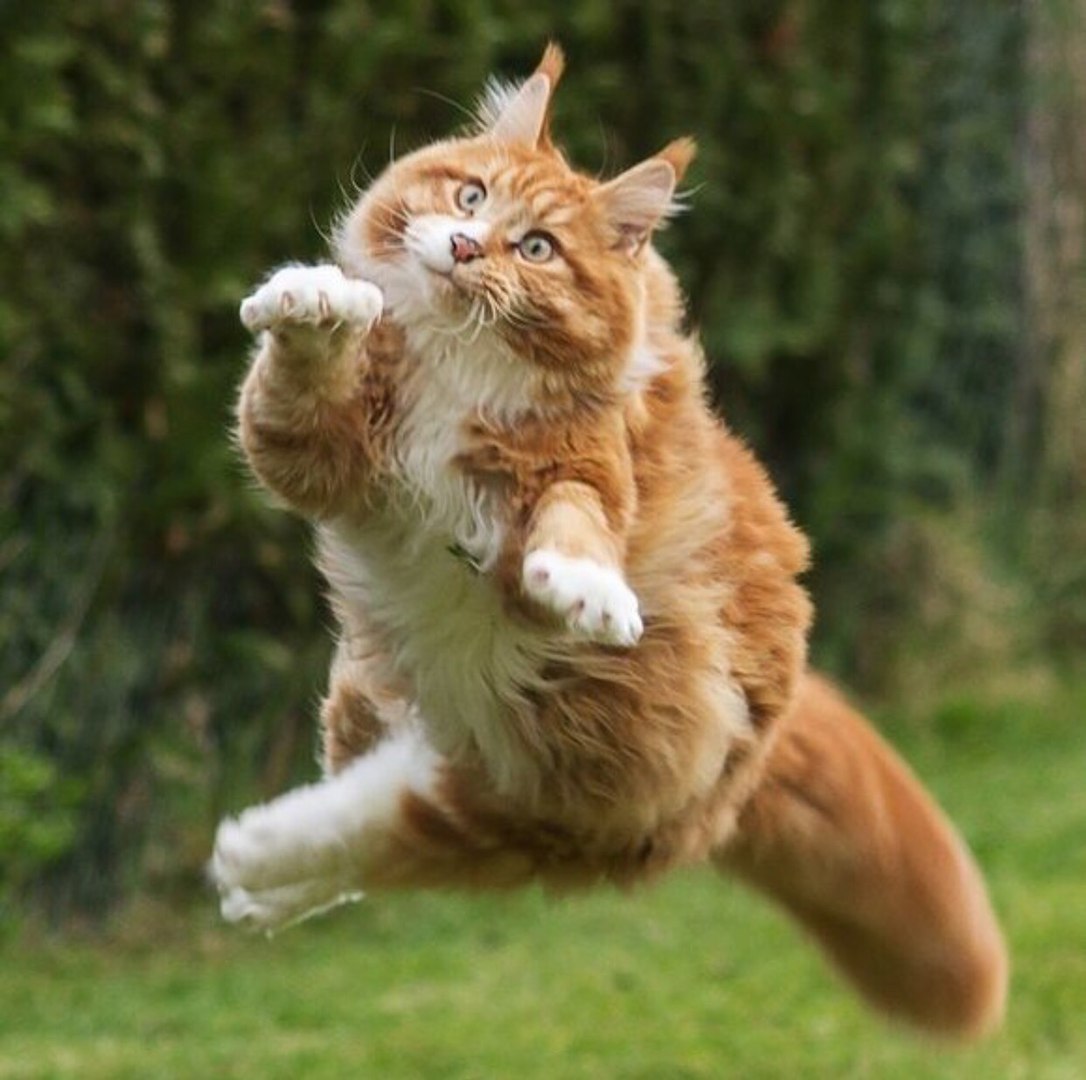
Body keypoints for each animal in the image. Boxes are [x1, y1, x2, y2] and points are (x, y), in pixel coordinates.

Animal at [210, 44, 1007, 1039]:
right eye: (470, 196)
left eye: (536, 248)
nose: (465, 247)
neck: (459, 372)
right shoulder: (321, 453)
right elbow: (300, 376)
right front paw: (318, 302)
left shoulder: (580, 471)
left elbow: (574, 523)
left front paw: (588, 589)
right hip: (384, 701)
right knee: (357, 802)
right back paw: (255, 882)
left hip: (546, 788)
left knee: (386, 824)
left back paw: (253, 854)